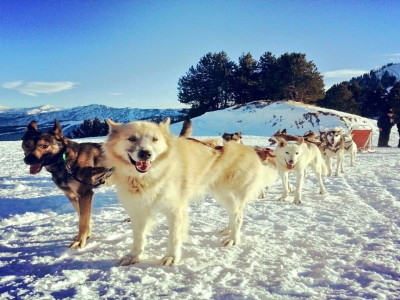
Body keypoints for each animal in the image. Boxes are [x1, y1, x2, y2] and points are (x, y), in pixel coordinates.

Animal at [21, 119, 113, 248]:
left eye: (45, 146)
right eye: (27, 145)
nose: (29, 159)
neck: (66, 161)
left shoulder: (85, 194)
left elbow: (83, 221)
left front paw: (80, 241)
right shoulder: (71, 195)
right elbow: (83, 217)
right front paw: (87, 234)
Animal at [102, 118, 278, 266]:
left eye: (154, 139)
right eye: (131, 138)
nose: (145, 153)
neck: (149, 177)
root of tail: (249, 150)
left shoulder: (175, 210)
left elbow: (173, 237)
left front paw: (171, 256)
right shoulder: (138, 210)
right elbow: (138, 237)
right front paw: (134, 256)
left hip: (229, 195)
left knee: (238, 217)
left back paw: (233, 238)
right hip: (222, 196)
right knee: (233, 215)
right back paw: (228, 230)